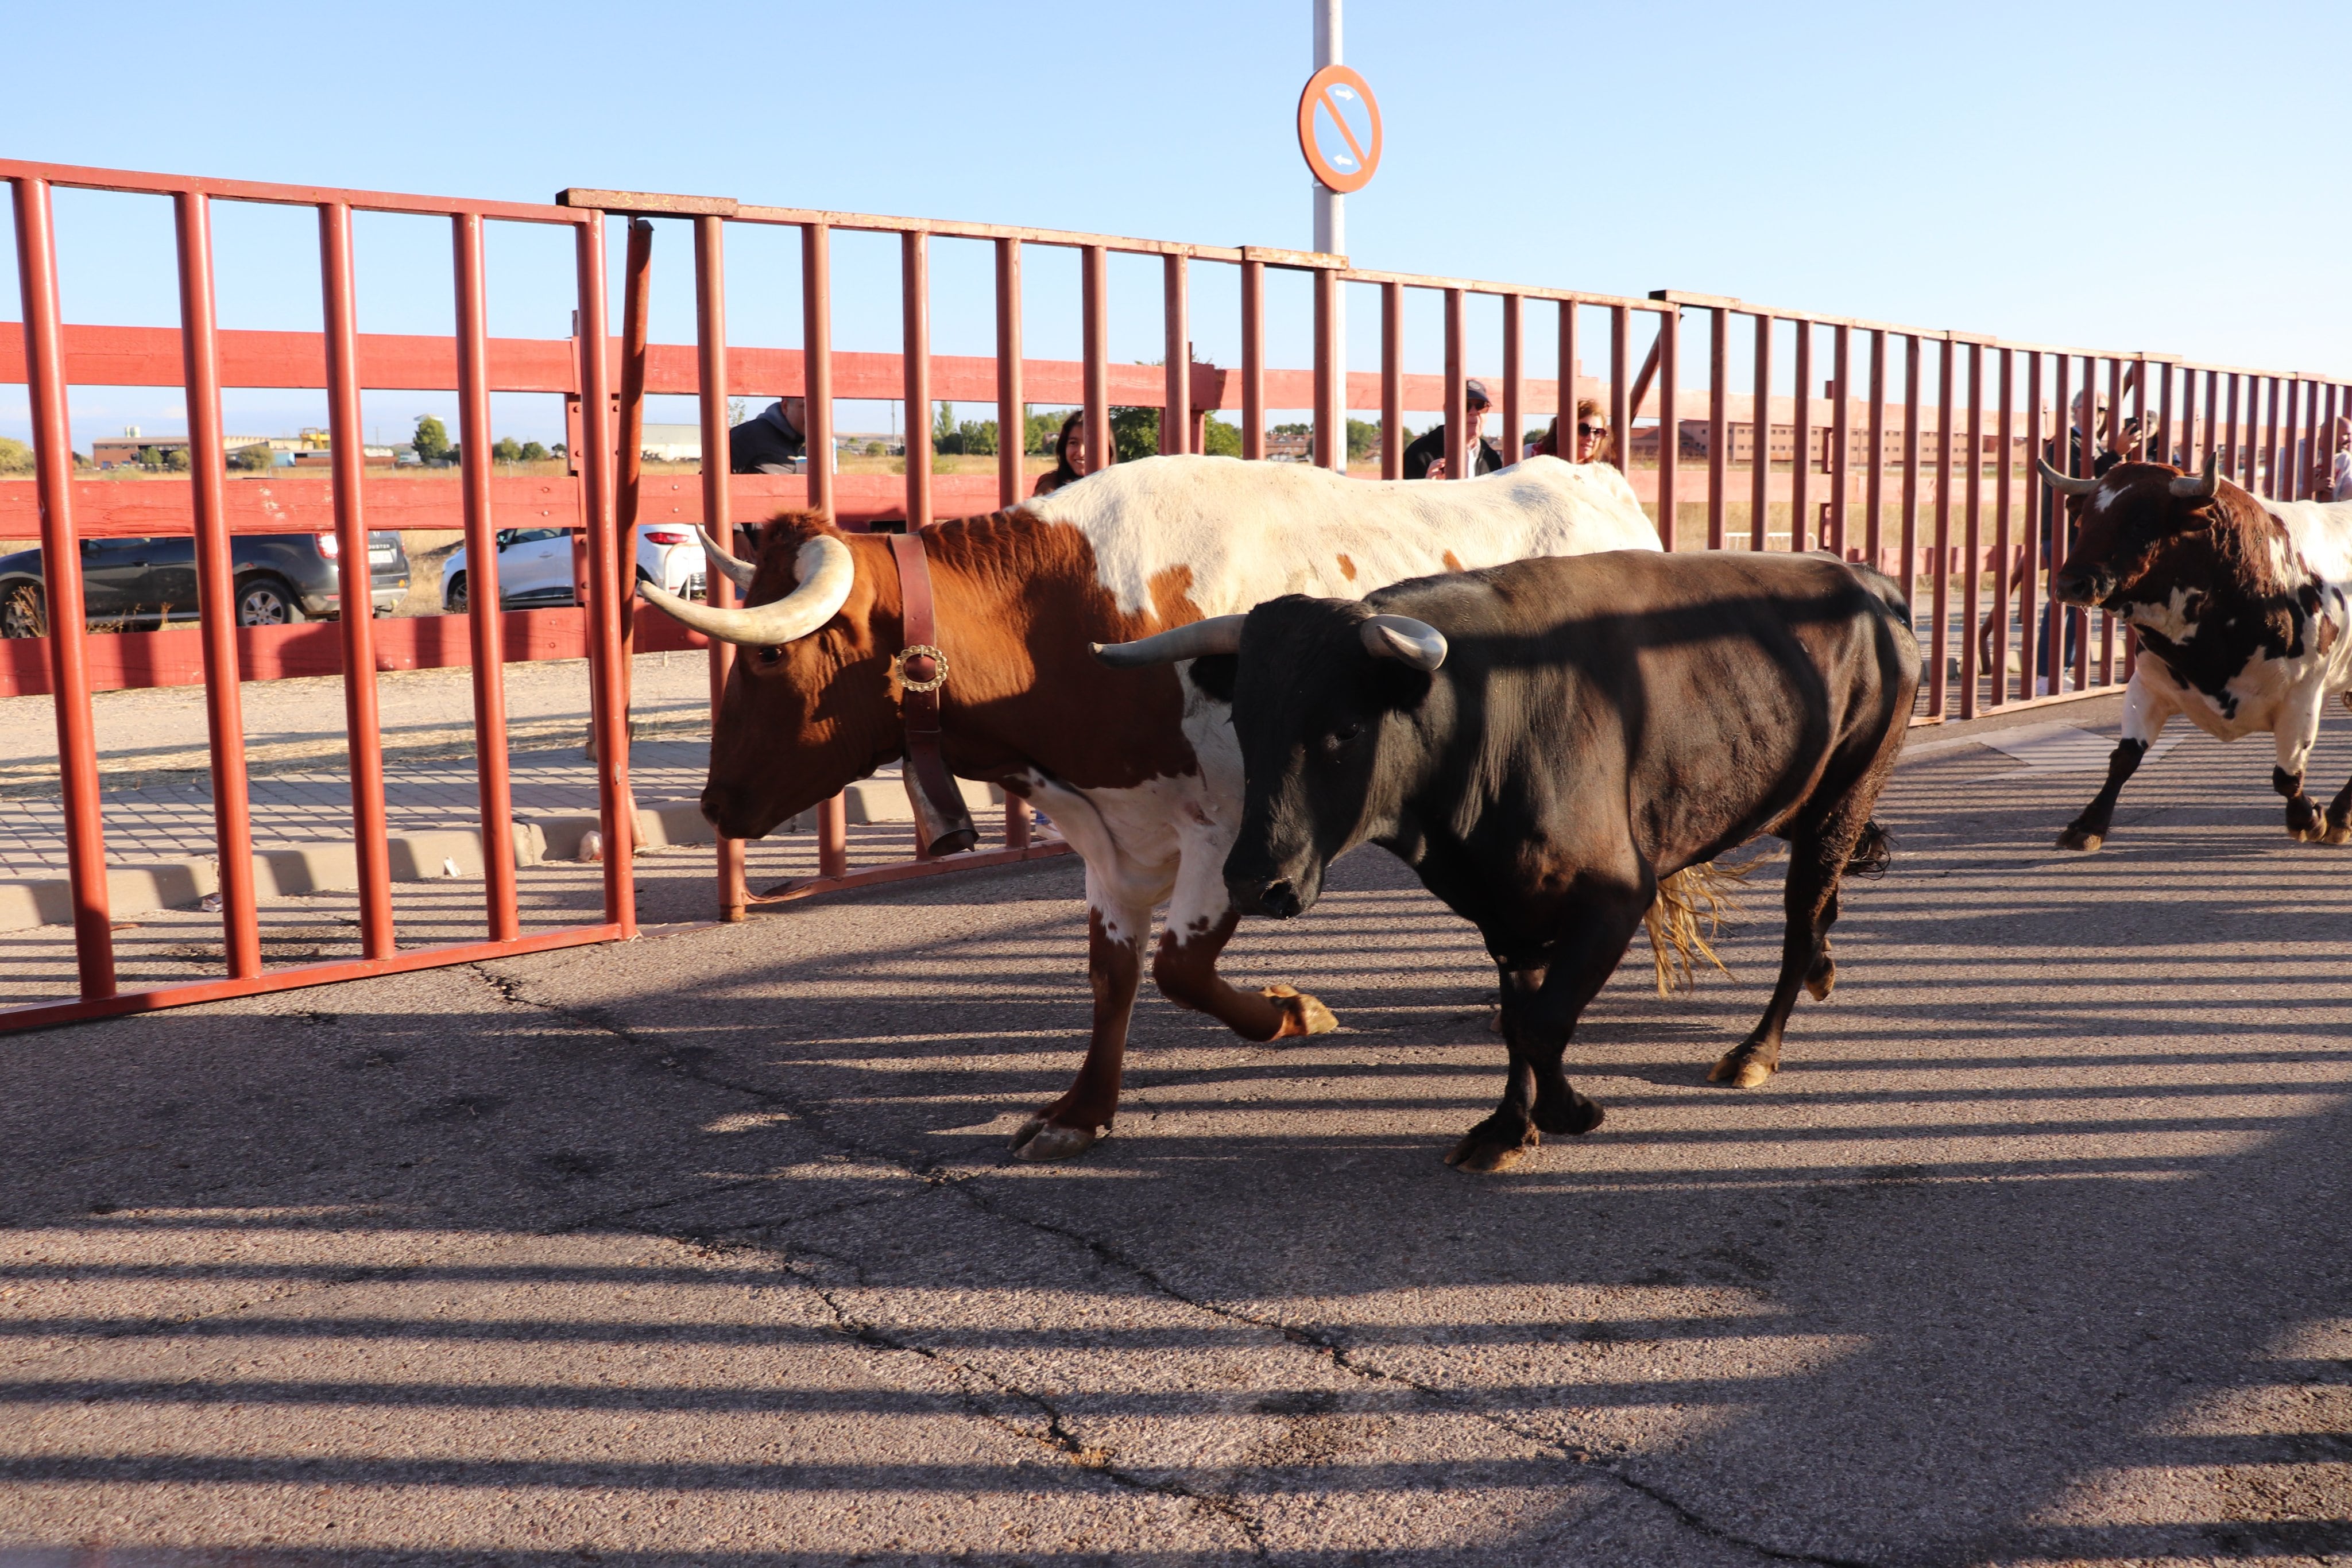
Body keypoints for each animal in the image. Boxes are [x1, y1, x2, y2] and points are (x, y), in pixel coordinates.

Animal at [640, 446, 1655, 1161]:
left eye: (773, 654)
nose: (717, 803)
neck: (1063, 619)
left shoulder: (1228, 833)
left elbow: (1182, 969)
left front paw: (1292, 1011)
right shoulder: (1109, 837)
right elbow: (1114, 976)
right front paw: (1082, 1111)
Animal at [1213, 545, 1909, 1171]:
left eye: (1347, 728)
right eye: (1242, 725)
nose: (1254, 884)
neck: (1485, 716)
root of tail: (1865, 579)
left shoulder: (1616, 897)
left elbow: (1541, 1023)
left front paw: (1569, 1111)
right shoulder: (1507, 912)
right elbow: (1519, 1018)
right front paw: (1508, 1127)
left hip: (1842, 797)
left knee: (1800, 919)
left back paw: (1756, 1050)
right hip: (1793, 804)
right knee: (1821, 909)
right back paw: (1820, 970)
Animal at [2041, 454, 2352, 851]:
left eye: (2140, 521)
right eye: (2084, 520)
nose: (2070, 583)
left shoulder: (2302, 696)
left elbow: (2286, 776)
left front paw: (2310, 818)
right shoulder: (2148, 684)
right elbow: (2123, 759)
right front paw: (2089, 824)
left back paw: (2339, 816)